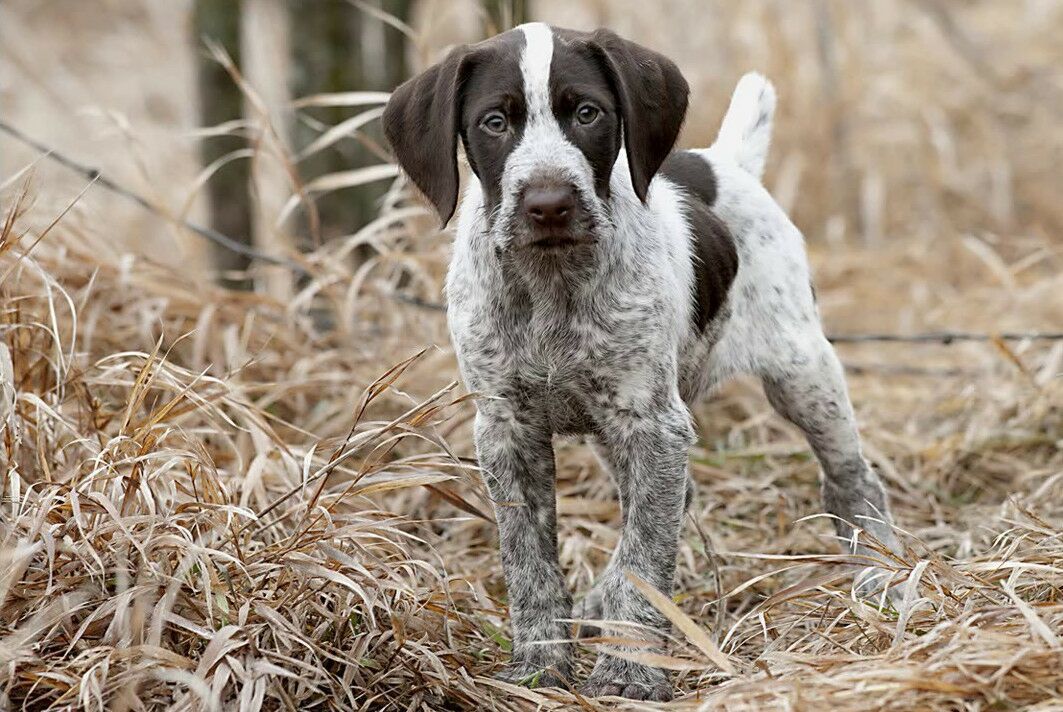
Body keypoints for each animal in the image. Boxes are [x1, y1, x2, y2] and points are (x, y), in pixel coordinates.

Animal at [378, 20, 901, 701]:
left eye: (587, 113)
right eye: (494, 122)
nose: (548, 203)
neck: (552, 280)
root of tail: (721, 161)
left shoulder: (652, 425)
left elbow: (647, 555)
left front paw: (630, 670)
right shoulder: (507, 429)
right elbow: (530, 561)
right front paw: (539, 665)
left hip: (801, 372)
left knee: (850, 478)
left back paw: (879, 579)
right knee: (667, 503)